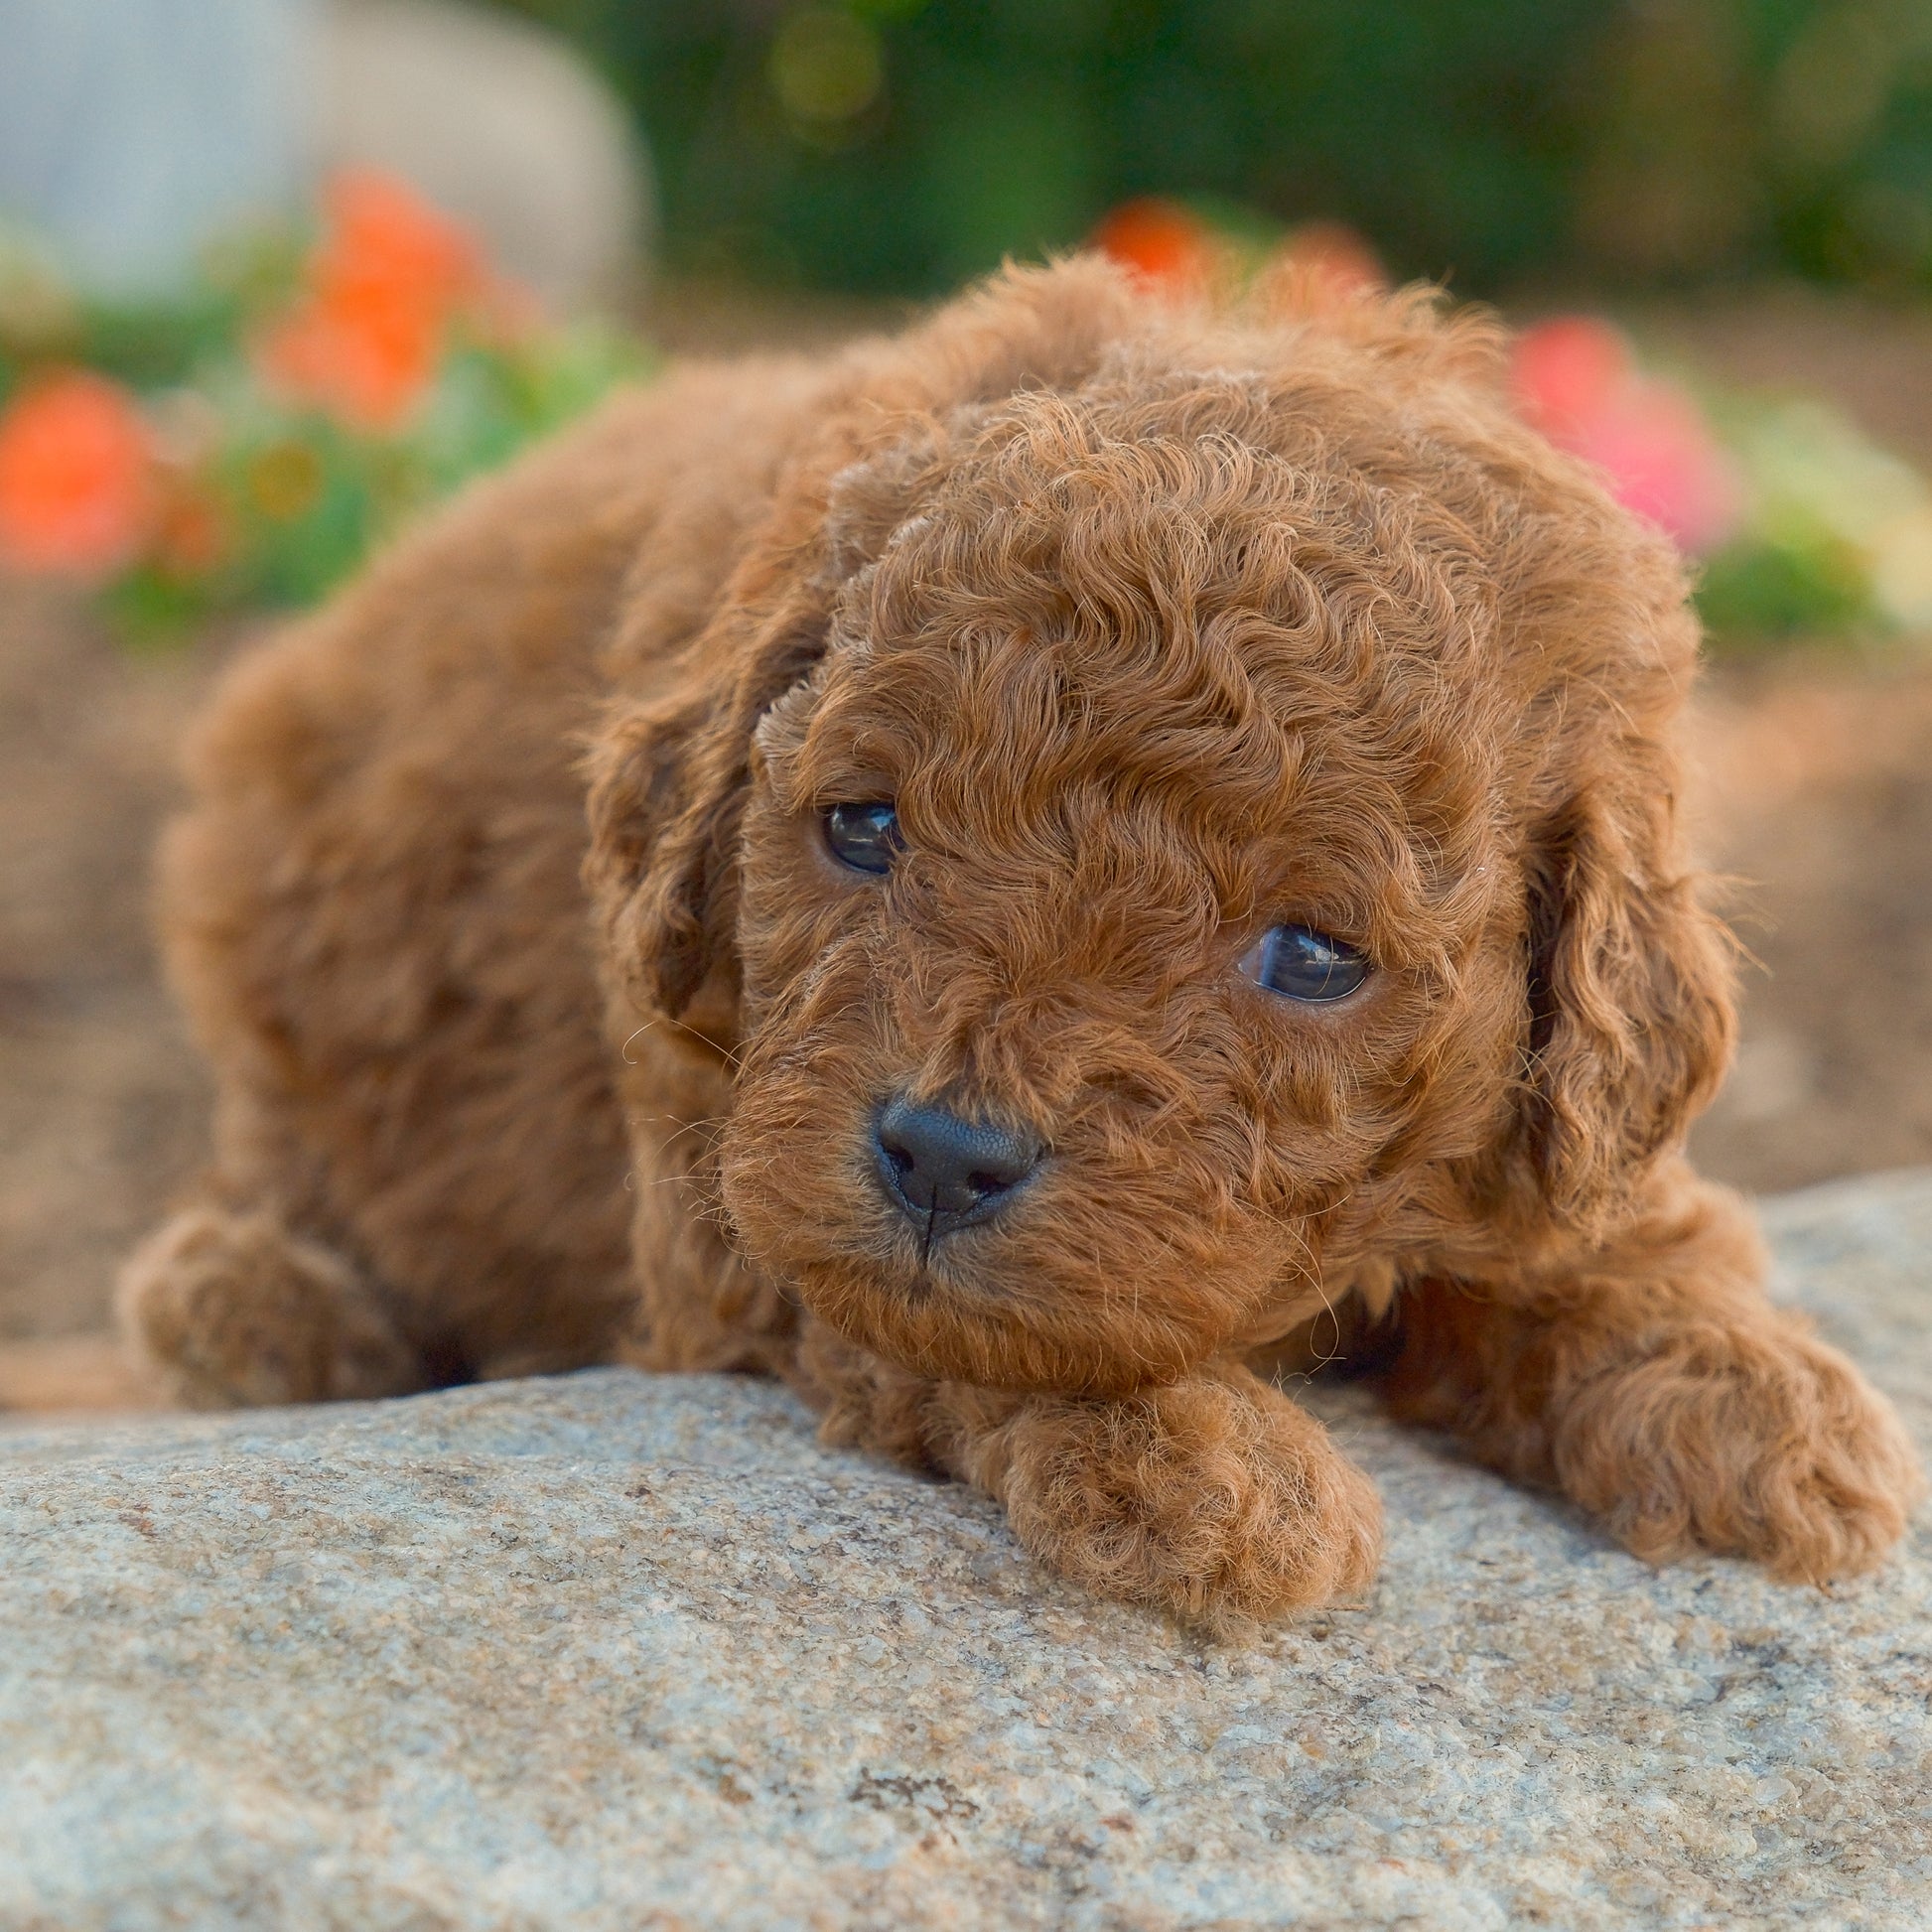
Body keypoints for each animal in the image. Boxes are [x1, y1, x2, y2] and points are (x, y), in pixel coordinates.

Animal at [116, 256, 1916, 1614]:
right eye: (862, 826)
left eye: (1313, 955)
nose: (939, 1155)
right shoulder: (718, 1208)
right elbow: (942, 1321)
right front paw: (1203, 1468)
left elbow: (1605, 1222)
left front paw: (1756, 1401)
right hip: (283, 960)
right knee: (278, 1177)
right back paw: (260, 1308)